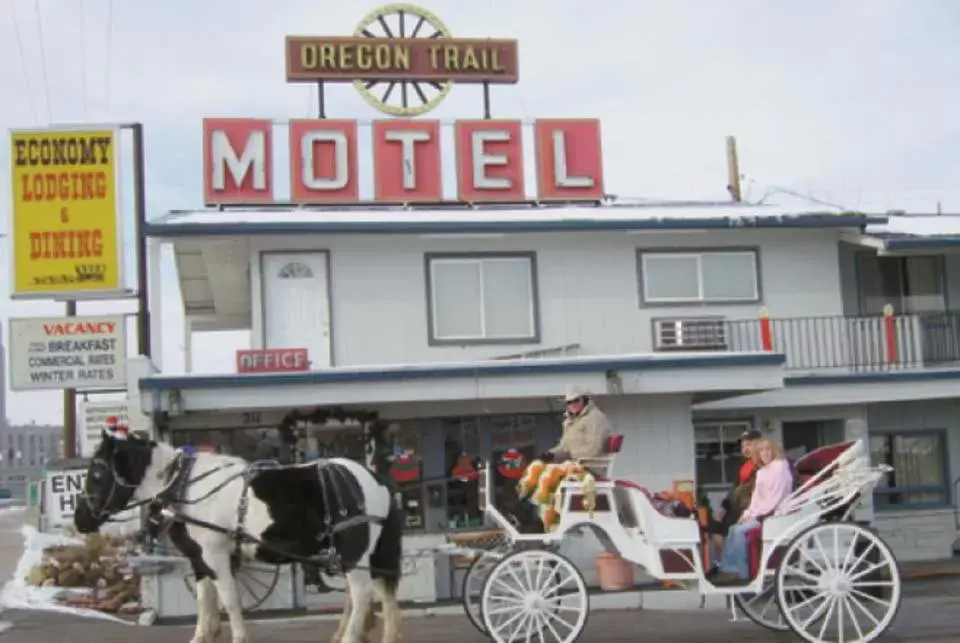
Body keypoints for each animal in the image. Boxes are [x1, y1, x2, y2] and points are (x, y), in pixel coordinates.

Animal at [75, 432, 404, 643]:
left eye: (97, 474)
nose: (80, 519)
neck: (182, 486)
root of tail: (372, 478)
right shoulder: (200, 560)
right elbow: (206, 601)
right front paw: (203, 636)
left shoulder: (216, 555)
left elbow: (230, 600)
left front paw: (238, 636)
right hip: (364, 555)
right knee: (379, 593)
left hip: (354, 553)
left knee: (361, 593)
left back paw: (349, 636)